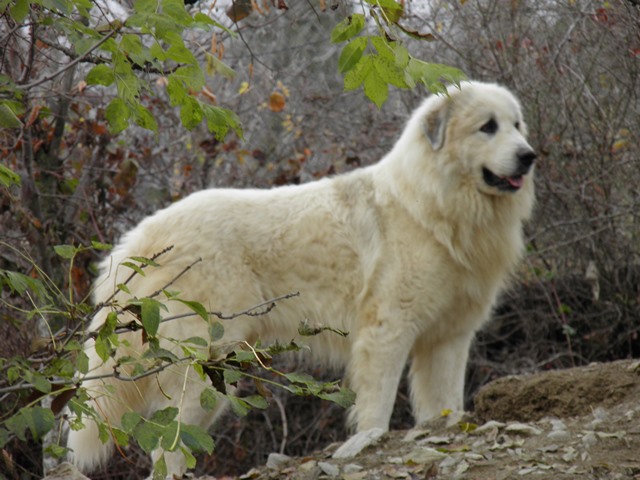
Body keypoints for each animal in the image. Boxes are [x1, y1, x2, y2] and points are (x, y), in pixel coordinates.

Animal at [67, 82, 536, 476]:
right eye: (487, 127)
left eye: (516, 125)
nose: (529, 156)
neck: (433, 204)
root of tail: (137, 240)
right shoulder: (388, 330)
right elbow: (379, 404)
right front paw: (369, 439)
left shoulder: (450, 338)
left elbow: (446, 404)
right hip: (205, 365)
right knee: (170, 448)